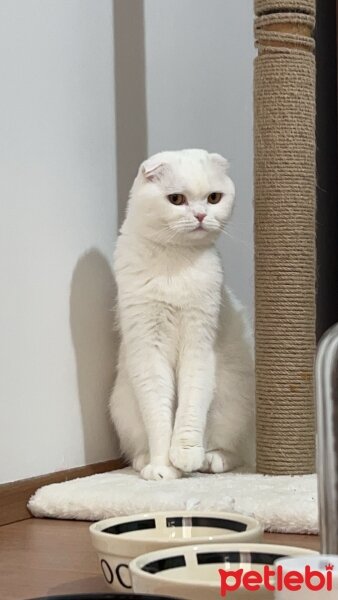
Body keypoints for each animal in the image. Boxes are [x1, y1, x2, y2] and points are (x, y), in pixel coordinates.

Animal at [109, 148, 255, 480]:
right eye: (176, 199)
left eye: (214, 197)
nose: (201, 215)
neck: (174, 262)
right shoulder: (148, 350)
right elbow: (159, 414)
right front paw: (163, 467)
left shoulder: (198, 346)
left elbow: (190, 405)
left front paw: (186, 455)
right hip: (123, 407)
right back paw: (144, 462)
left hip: (232, 403)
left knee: (235, 451)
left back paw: (210, 459)